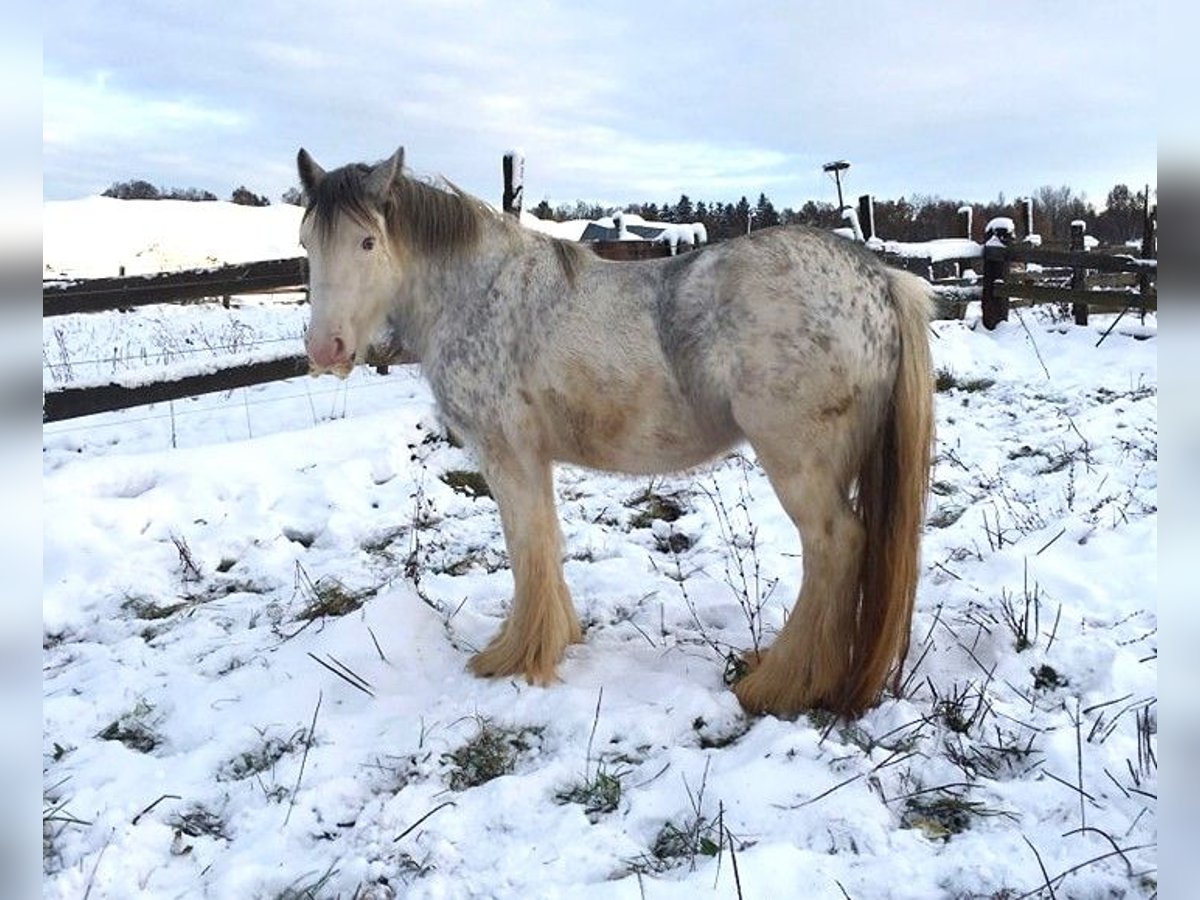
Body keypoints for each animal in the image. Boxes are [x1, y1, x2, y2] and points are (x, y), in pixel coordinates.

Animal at [295, 146, 931, 720]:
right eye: (306, 244)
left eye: (368, 242)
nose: (324, 350)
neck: (478, 293)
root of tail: (877, 279)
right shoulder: (533, 457)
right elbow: (545, 542)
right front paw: (556, 639)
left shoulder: (506, 455)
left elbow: (526, 545)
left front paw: (514, 656)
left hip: (799, 466)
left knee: (835, 546)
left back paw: (780, 683)